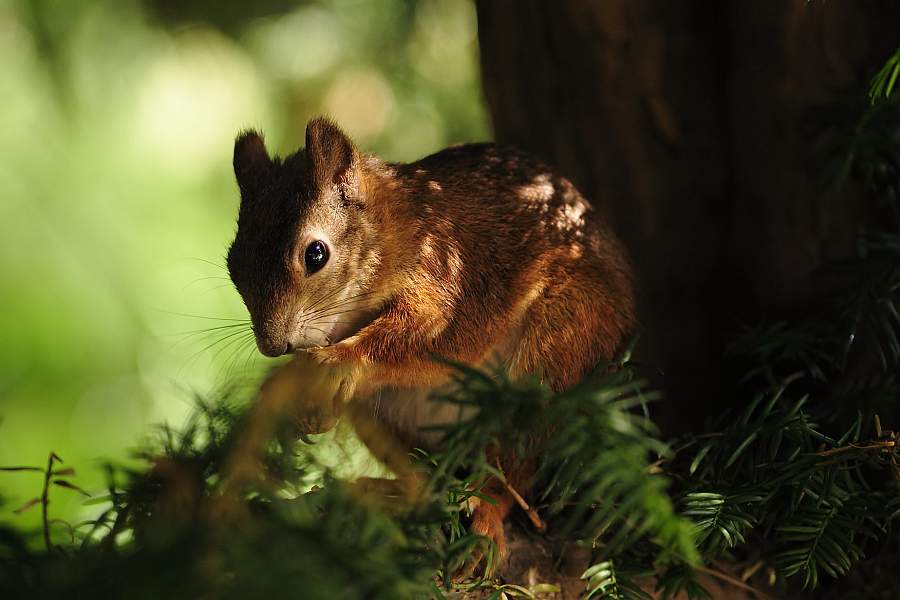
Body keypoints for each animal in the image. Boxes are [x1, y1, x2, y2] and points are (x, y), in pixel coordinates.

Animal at [227, 116, 632, 568]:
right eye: (233, 264)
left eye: (315, 254)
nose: (272, 346)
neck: (398, 227)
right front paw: (299, 398)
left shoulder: (451, 277)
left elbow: (432, 340)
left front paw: (333, 362)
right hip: (382, 418)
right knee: (427, 481)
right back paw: (393, 494)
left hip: (557, 349)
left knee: (513, 473)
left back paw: (485, 515)